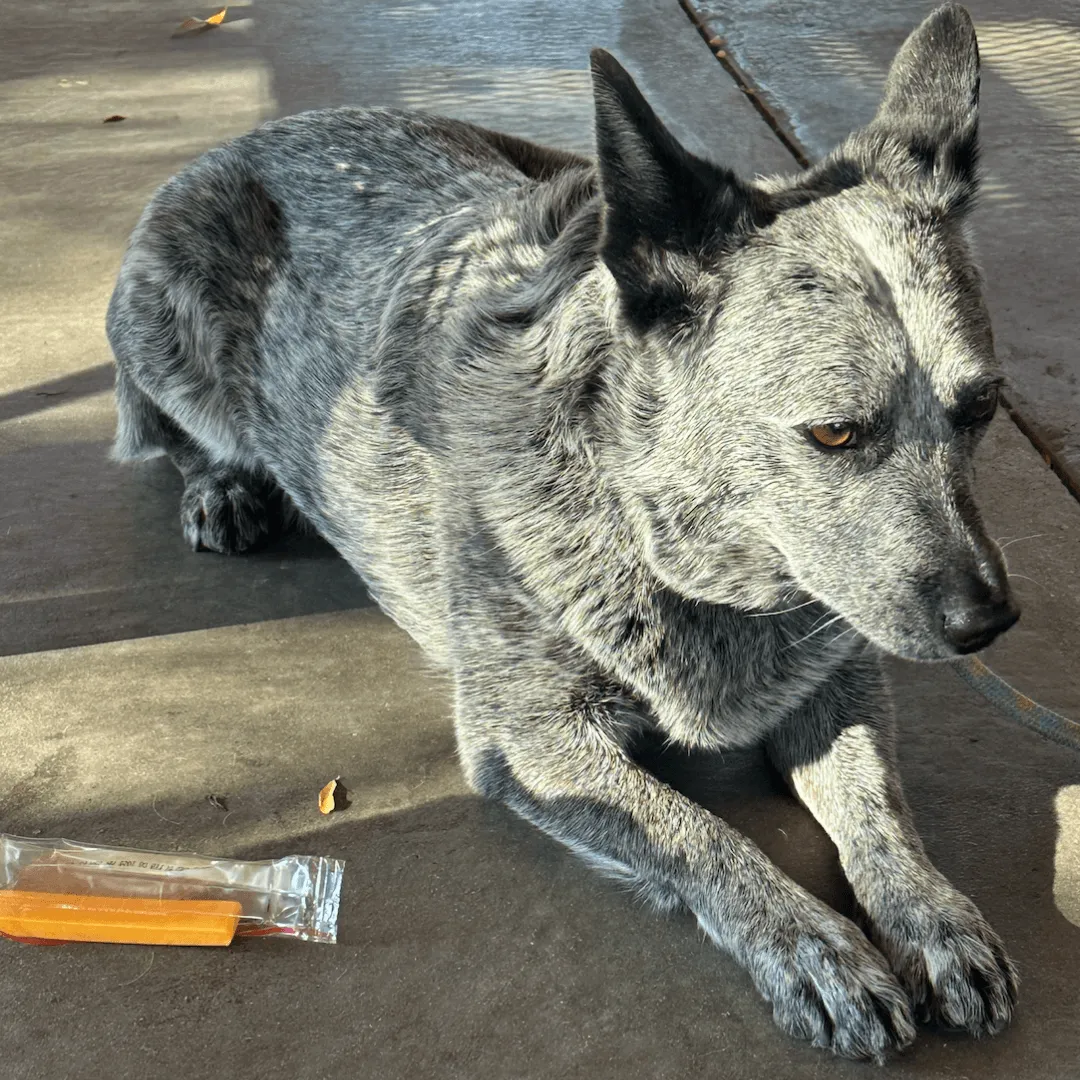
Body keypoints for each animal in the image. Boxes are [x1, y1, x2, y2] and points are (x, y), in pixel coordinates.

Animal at [107, 2, 1019, 1062]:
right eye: (834, 433)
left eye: (981, 408)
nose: (988, 622)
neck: (674, 553)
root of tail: (251, 138)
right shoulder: (530, 739)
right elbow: (702, 834)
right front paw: (815, 948)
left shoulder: (841, 681)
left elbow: (880, 808)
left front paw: (932, 915)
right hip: (167, 339)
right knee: (169, 426)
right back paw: (222, 484)